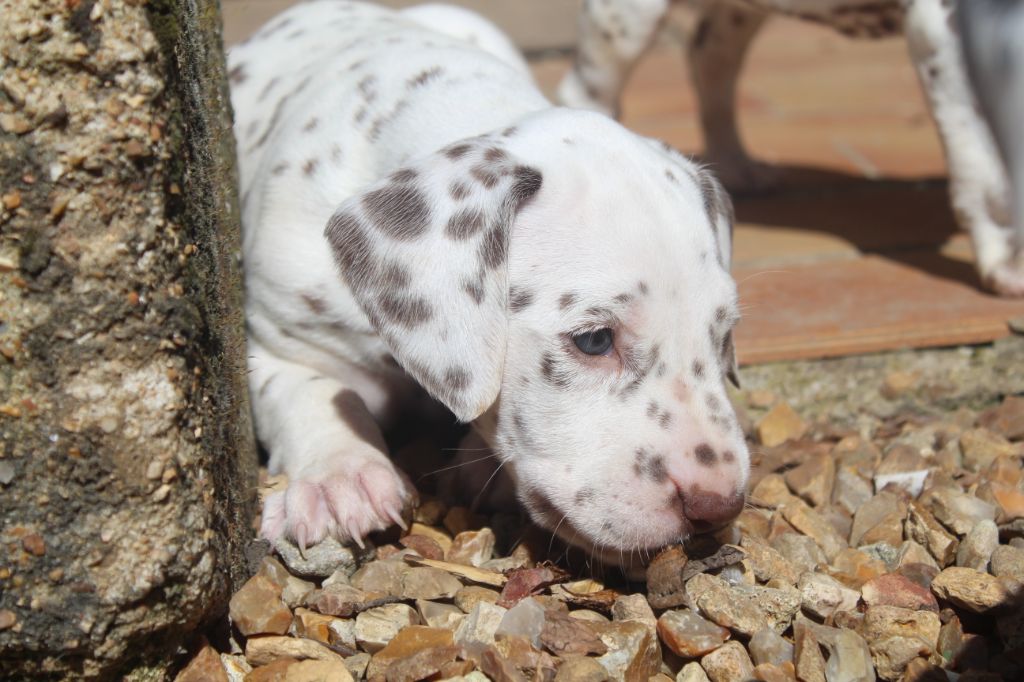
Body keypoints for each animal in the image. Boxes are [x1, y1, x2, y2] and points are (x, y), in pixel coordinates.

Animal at [228, 1, 750, 569]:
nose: (718, 505)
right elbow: (310, 389)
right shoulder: (274, 335)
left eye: (723, 336)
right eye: (594, 340)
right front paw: (341, 477)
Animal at [559, 0, 1024, 297]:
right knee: (586, 89)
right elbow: (985, 169)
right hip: (626, 20)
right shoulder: (947, 31)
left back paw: (736, 163)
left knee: (710, 55)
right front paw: (1005, 259)